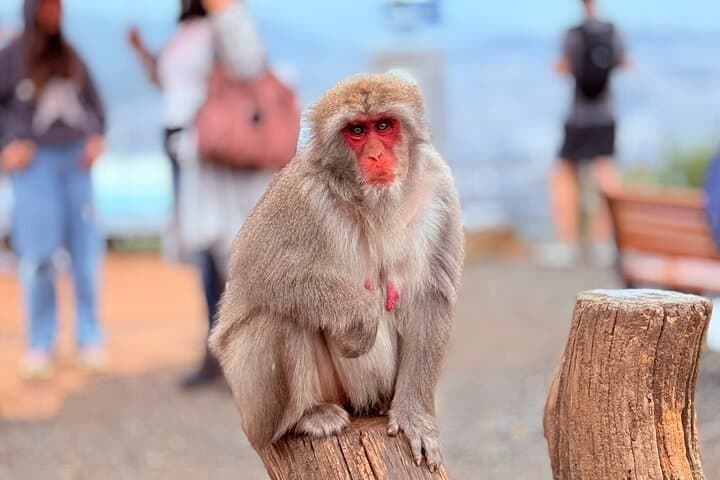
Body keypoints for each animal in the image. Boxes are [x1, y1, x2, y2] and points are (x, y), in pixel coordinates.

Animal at [208, 72, 464, 472]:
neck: (373, 201)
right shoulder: (300, 192)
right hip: (253, 404)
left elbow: (430, 296)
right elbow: (256, 268)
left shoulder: (438, 187)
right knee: (280, 315)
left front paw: (413, 416)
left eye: (384, 125)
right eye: (356, 130)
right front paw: (359, 314)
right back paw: (306, 416)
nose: (376, 155)